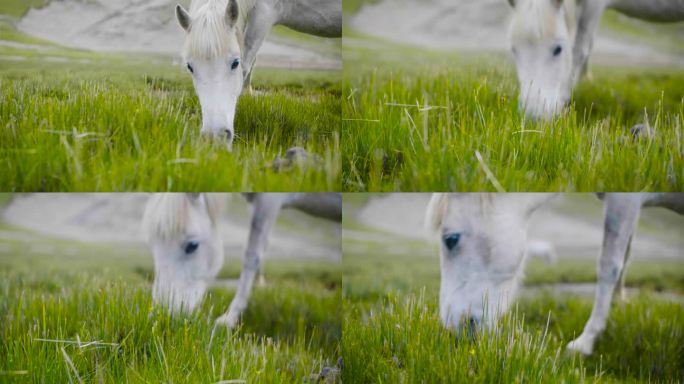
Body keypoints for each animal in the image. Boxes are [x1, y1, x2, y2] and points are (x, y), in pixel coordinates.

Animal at [142, 192, 342, 328]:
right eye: (152, 244)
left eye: (192, 245)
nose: (162, 315)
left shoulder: (269, 201)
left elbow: (251, 256)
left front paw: (229, 319)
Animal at [424, 194, 680, 356]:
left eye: (451, 239)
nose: (451, 326)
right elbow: (625, 256)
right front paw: (618, 306)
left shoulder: (626, 199)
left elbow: (609, 265)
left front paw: (585, 342)